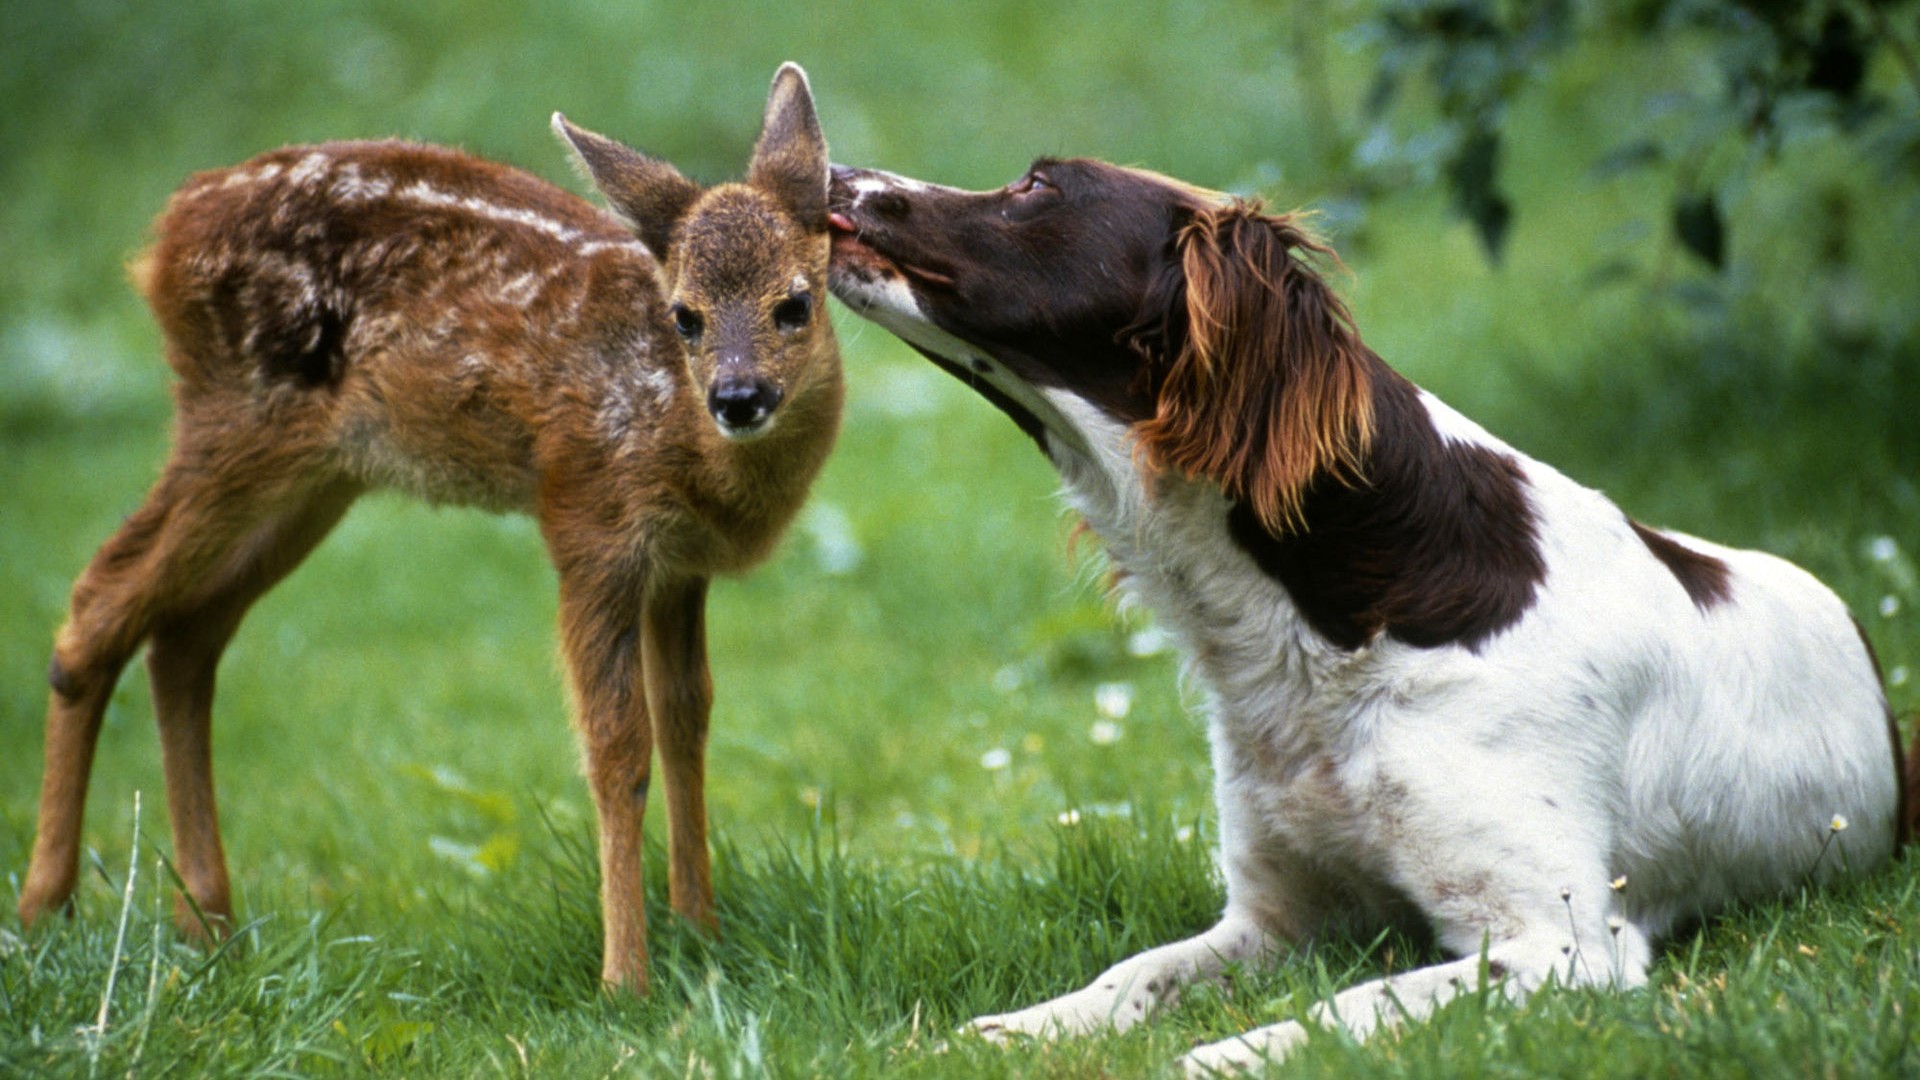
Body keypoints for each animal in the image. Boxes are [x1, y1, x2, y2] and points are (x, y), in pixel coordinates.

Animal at [15, 61, 840, 991]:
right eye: (686, 316)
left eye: (795, 304)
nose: (738, 397)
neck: (684, 440)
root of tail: (165, 236)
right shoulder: (589, 520)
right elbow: (616, 748)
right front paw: (627, 979)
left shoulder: (679, 566)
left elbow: (686, 724)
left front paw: (702, 933)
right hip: (238, 418)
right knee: (100, 600)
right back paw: (47, 909)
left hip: (319, 478)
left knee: (184, 636)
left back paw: (209, 922)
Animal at [817, 157, 1912, 1068]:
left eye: (1038, 186)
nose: (834, 169)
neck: (1329, 625)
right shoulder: (1277, 917)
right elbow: (1136, 973)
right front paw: (1015, 1030)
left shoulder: (1563, 942)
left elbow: (1348, 1007)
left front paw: (1218, 1055)